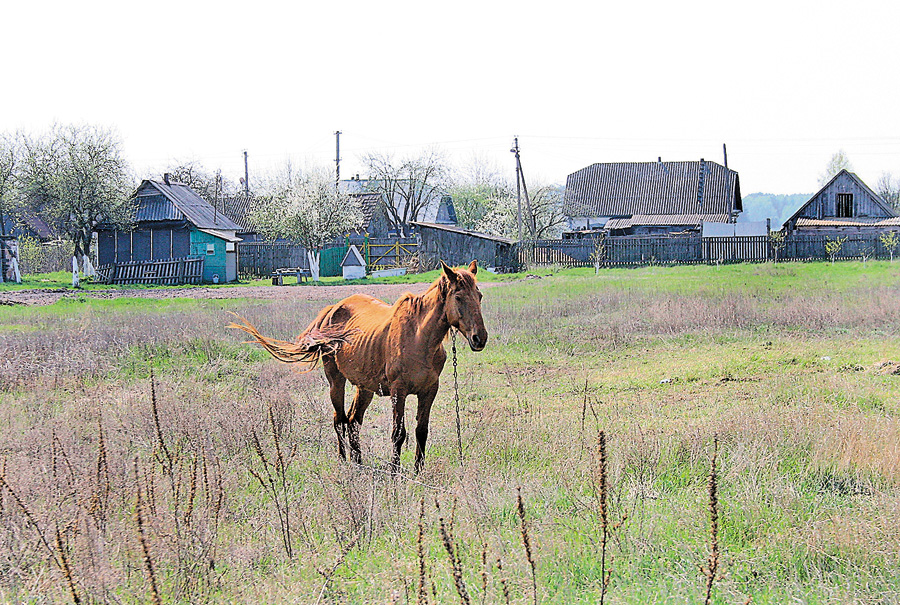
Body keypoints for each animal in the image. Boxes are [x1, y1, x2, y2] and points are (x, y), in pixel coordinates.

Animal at [229, 260, 488, 472]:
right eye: (458, 297)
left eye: (480, 296)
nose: (480, 338)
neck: (418, 336)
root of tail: (332, 310)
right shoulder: (399, 392)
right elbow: (398, 434)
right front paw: (395, 474)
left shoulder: (429, 391)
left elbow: (420, 432)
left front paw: (418, 473)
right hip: (336, 381)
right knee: (340, 420)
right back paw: (344, 461)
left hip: (364, 388)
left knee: (353, 422)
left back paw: (358, 462)